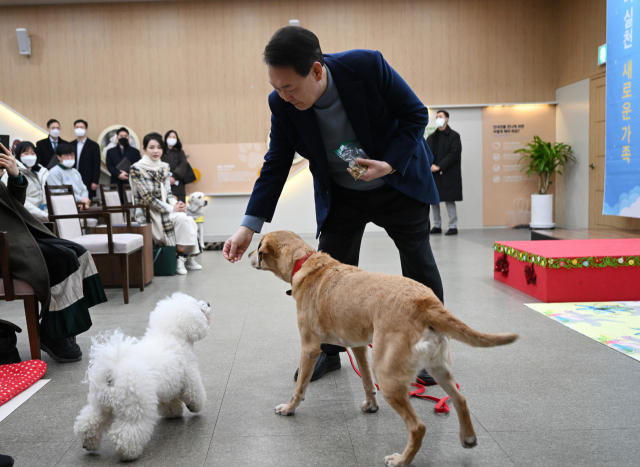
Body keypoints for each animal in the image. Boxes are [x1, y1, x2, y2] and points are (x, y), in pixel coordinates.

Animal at [74, 292, 211, 460]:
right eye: (199, 306)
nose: (208, 303)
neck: (170, 334)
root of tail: (112, 372)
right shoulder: (189, 374)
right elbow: (195, 393)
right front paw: (194, 407)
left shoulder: (167, 386)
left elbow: (170, 401)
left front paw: (173, 412)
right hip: (136, 408)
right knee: (126, 433)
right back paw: (128, 453)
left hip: (100, 403)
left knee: (89, 421)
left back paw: (88, 442)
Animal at [248, 231, 516, 467]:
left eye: (258, 245)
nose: (248, 253)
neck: (305, 263)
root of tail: (425, 302)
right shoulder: (358, 347)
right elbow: (367, 381)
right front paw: (371, 405)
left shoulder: (309, 347)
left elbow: (300, 387)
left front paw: (289, 408)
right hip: (437, 366)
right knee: (460, 399)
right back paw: (467, 437)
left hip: (387, 375)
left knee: (418, 427)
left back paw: (401, 460)